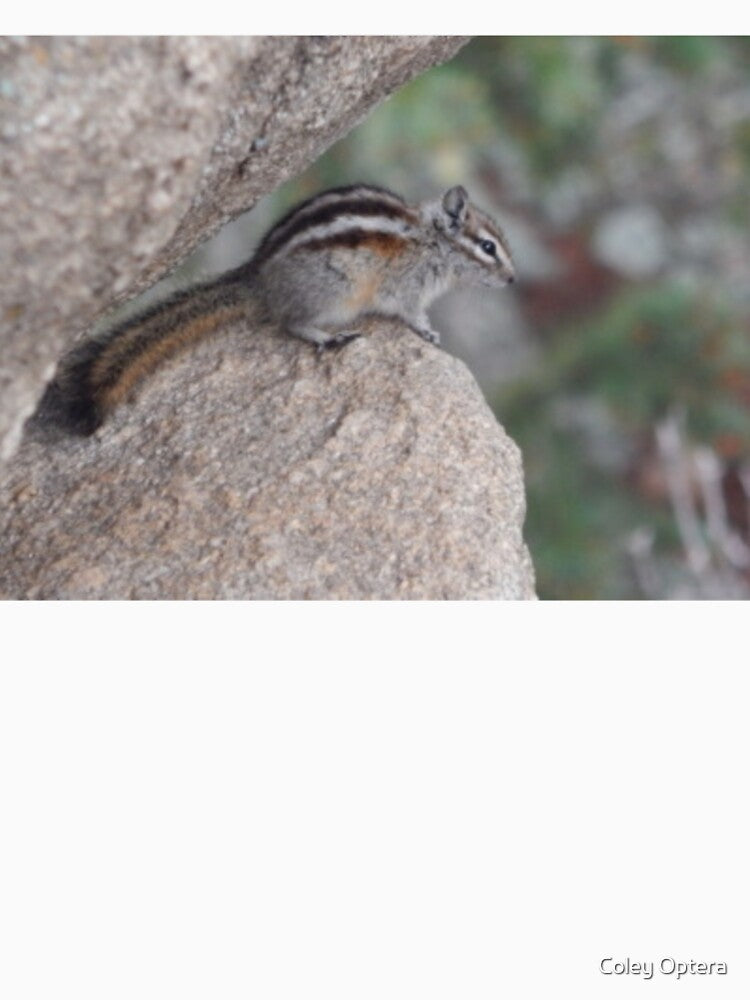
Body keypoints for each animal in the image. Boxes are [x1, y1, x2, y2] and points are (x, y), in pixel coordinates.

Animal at [40, 183, 516, 435]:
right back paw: (329, 337)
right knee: (291, 324)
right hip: (334, 293)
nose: (514, 281)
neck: (432, 239)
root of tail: (258, 281)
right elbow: (410, 314)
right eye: (488, 247)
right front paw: (428, 331)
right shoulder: (406, 289)